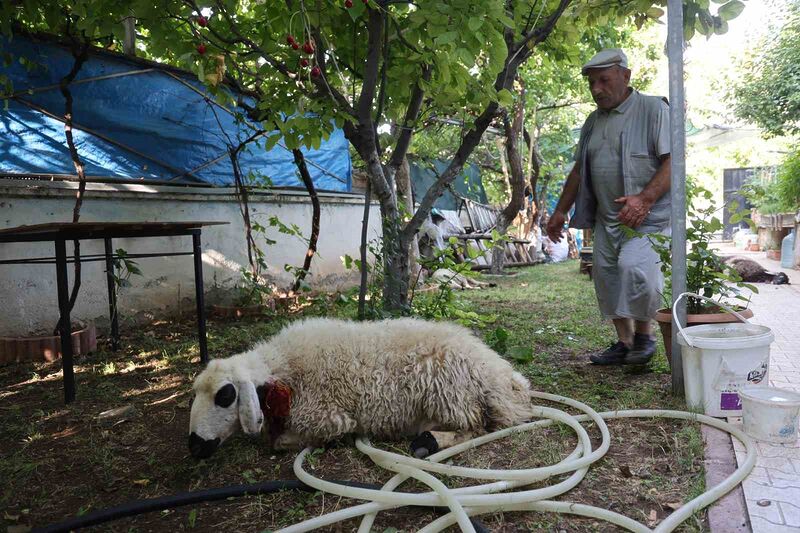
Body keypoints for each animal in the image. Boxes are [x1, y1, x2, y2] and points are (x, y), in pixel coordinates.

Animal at [190, 316, 536, 458]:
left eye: (225, 395)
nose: (195, 445)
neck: (285, 368)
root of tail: (506, 379)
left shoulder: (327, 417)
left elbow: (281, 442)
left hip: (449, 394)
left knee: (476, 427)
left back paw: (428, 443)